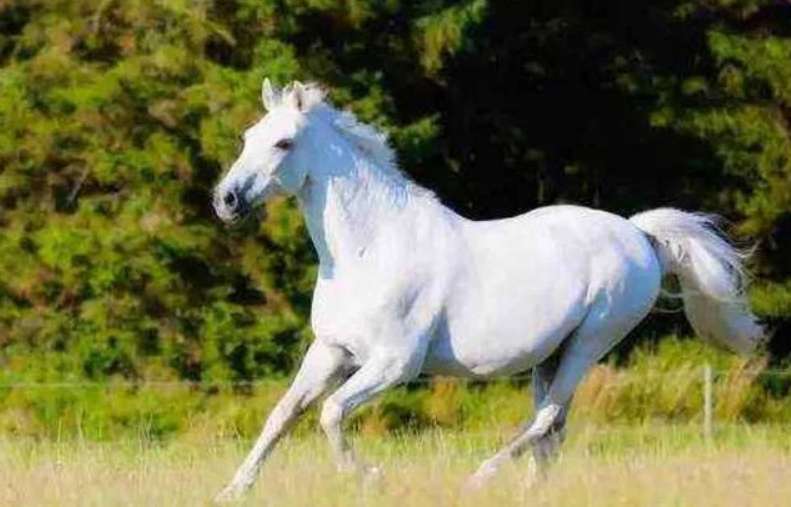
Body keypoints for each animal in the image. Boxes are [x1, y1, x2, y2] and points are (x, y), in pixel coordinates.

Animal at [211, 79, 765, 501]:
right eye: (247, 136)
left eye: (283, 143)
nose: (226, 200)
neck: (371, 248)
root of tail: (639, 234)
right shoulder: (331, 351)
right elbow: (282, 416)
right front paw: (231, 491)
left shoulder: (394, 364)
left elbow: (329, 415)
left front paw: (371, 478)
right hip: (554, 353)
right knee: (552, 429)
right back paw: (528, 493)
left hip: (591, 342)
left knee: (543, 420)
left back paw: (479, 479)